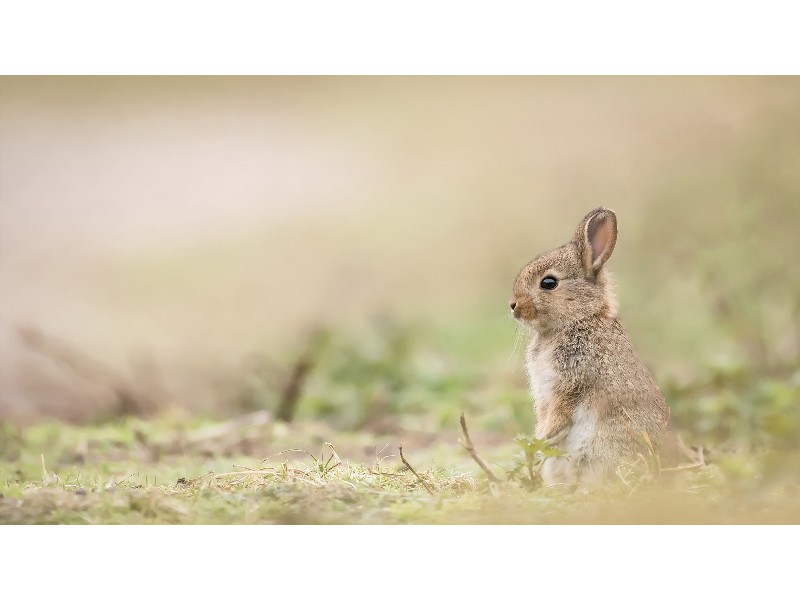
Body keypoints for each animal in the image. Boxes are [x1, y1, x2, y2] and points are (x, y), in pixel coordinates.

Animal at [512, 207, 676, 488]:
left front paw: (541, 440)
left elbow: (558, 414)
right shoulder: (545, 395)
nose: (512, 305)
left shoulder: (571, 381)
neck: (579, 319)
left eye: (548, 283)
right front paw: (537, 441)